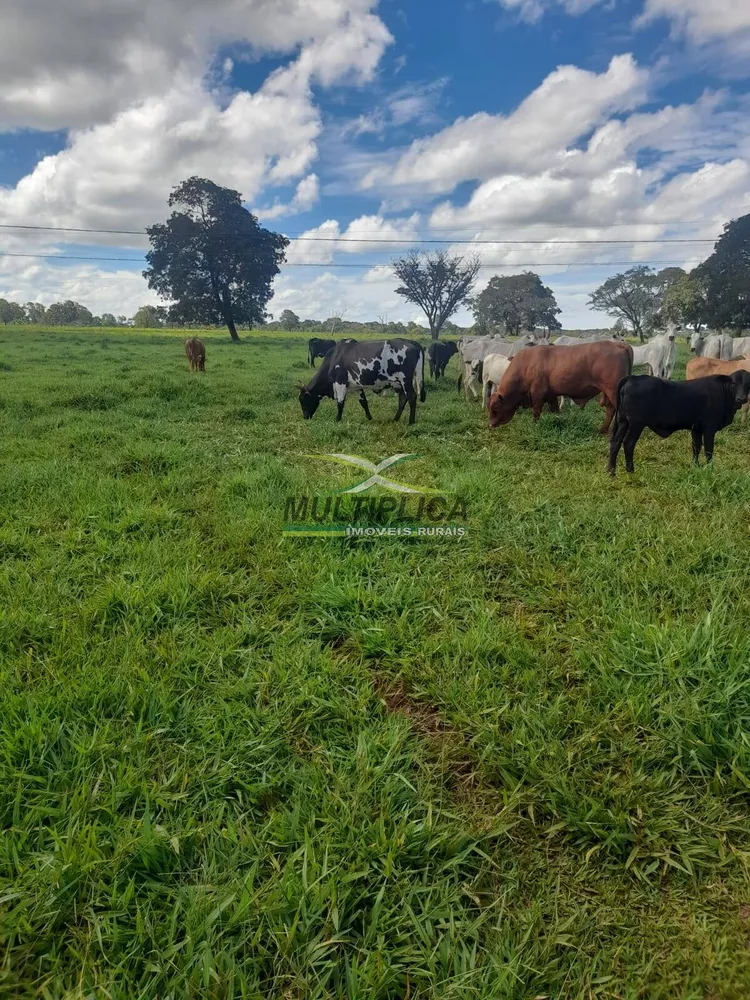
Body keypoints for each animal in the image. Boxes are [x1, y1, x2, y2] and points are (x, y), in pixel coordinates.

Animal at [300, 340, 428, 426]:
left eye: (303, 400)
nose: (305, 417)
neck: (334, 357)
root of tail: (412, 342)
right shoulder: (356, 386)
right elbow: (364, 402)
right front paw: (370, 417)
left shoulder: (340, 383)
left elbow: (340, 403)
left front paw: (337, 420)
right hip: (400, 383)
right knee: (402, 399)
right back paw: (395, 419)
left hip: (405, 380)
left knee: (411, 398)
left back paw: (411, 422)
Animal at [488, 342, 636, 432]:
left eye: (495, 407)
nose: (490, 424)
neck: (526, 364)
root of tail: (618, 344)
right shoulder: (551, 395)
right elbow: (555, 410)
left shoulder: (537, 394)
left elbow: (536, 412)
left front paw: (534, 426)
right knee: (610, 410)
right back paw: (603, 430)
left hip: (613, 392)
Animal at [612, 372, 750, 476]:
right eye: (734, 383)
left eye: (748, 384)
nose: (742, 399)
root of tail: (633, 377)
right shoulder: (709, 429)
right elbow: (708, 450)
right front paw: (710, 469)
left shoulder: (696, 429)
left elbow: (696, 447)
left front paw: (696, 466)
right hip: (636, 424)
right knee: (628, 443)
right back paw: (630, 470)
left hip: (623, 421)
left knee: (615, 442)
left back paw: (611, 472)